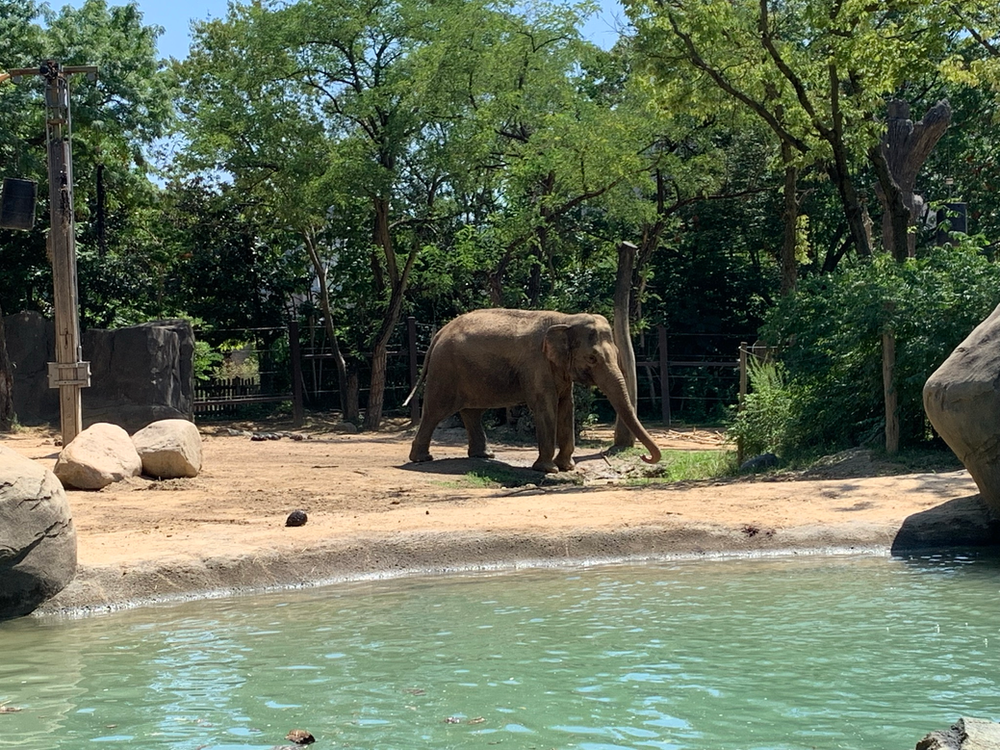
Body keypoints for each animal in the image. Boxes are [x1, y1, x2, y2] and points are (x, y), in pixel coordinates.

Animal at [406, 308, 662, 473]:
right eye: (592, 358)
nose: (644, 456)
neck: (565, 319)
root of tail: (440, 332)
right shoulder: (536, 363)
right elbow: (545, 405)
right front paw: (548, 470)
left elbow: (566, 406)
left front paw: (567, 467)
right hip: (445, 370)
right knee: (435, 411)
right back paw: (422, 459)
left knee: (472, 412)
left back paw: (484, 456)